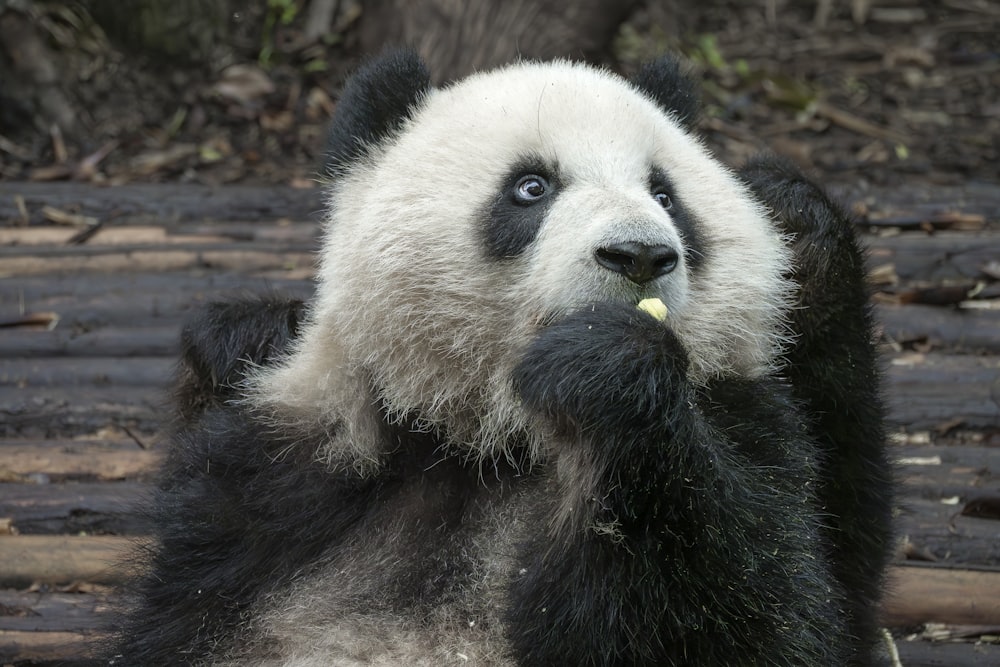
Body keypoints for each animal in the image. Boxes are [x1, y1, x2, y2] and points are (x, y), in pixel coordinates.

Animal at [113, 49, 896, 664]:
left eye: (665, 194)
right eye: (531, 187)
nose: (639, 254)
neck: (496, 441)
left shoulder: (752, 431)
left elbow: (755, 614)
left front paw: (607, 373)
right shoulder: (283, 476)